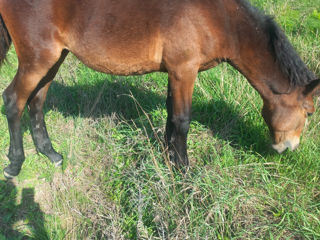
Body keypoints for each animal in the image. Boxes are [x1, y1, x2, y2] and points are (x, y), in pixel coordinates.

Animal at [0, 0, 320, 177]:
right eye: (308, 112)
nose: (288, 148)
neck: (217, 18)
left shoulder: (174, 73)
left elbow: (170, 117)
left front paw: (170, 159)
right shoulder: (184, 71)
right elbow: (182, 120)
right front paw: (184, 171)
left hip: (55, 58)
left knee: (37, 102)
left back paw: (50, 154)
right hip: (37, 59)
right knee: (14, 100)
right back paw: (15, 164)